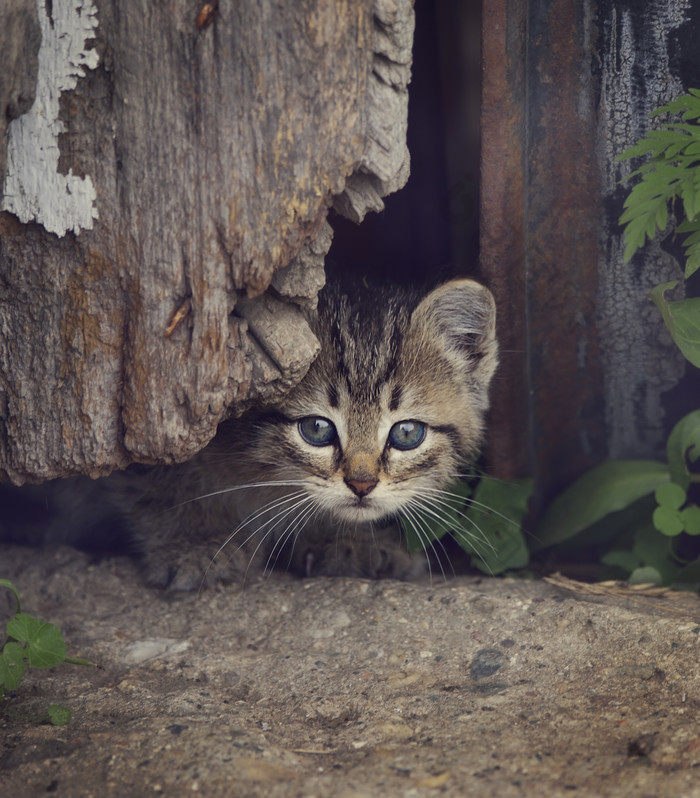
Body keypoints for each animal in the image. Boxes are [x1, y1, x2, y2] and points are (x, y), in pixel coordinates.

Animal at [1, 278, 498, 592]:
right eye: (316, 429)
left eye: (407, 433)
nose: (361, 484)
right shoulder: (149, 425)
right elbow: (158, 481)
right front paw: (195, 541)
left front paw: (349, 541)